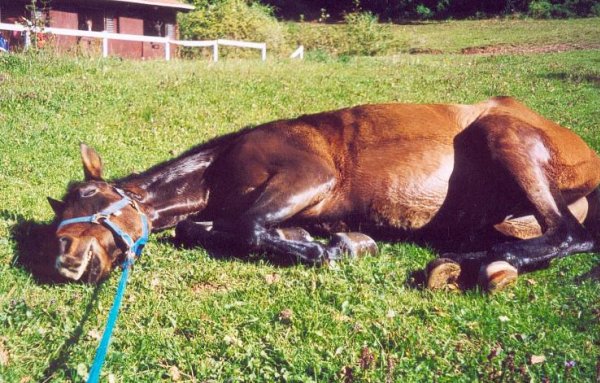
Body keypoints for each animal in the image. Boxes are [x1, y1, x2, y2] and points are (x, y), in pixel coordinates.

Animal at [48, 97, 600, 292]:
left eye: (92, 196)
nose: (67, 260)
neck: (218, 166)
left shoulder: (309, 177)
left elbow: (248, 226)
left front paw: (328, 251)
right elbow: (202, 228)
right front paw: (337, 241)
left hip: (505, 137)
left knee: (567, 233)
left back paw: (481, 264)